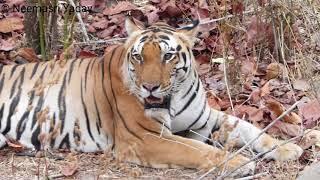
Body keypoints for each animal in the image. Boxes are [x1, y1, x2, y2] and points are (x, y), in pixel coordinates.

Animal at [0, 17, 316, 176]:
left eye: (167, 56)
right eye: (138, 56)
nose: (150, 87)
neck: (174, 97)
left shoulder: (204, 119)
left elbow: (250, 128)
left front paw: (287, 148)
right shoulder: (144, 137)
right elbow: (194, 150)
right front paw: (239, 163)